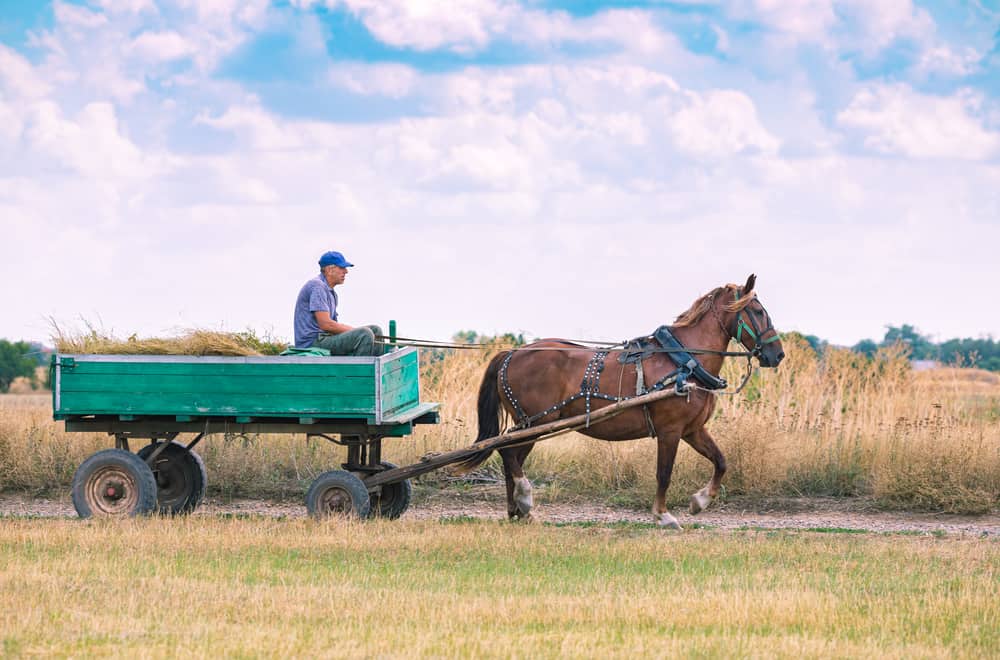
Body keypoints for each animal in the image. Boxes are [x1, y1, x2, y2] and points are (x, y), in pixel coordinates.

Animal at [453, 274, 784, 528]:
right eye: (757, 311)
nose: (777, 354)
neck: (683, 360)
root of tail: (511, 353)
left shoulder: (692, 430)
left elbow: (721, 462)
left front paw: (699, 502)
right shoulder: (670, 431)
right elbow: (664, 473)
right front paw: (663, 516)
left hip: (532, 424)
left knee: (511, 458)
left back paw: (518, 511)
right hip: (536, 422)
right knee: (508, 453)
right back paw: (523, 498)